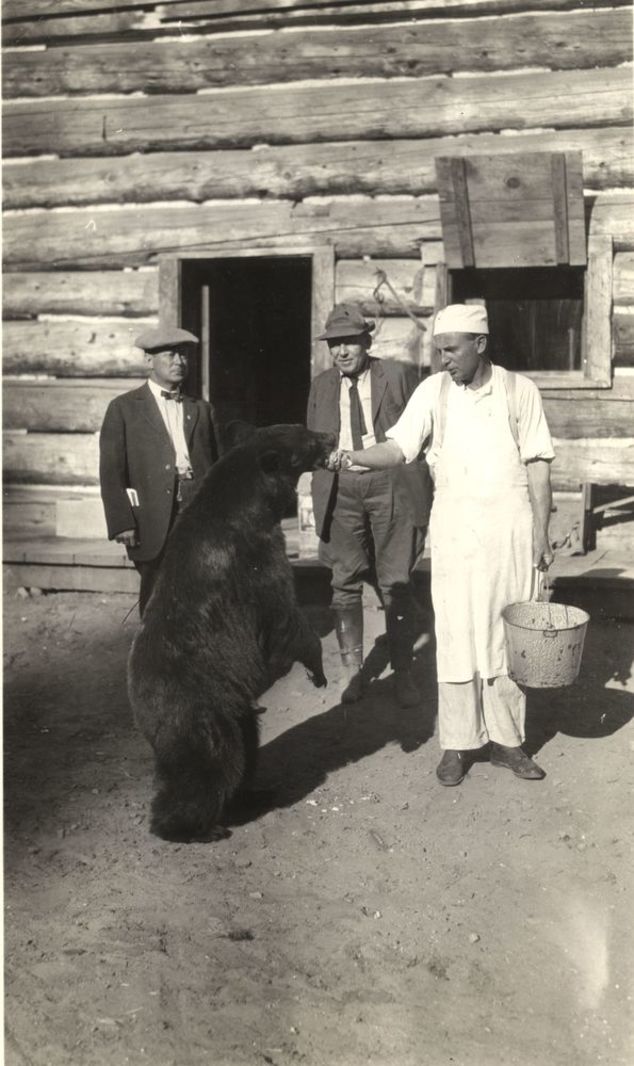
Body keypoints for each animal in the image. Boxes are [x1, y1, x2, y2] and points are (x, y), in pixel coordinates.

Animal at [127, 423, 336, 843]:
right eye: (307, 438)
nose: (332, 436)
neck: (254, 503)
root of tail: (138, 709)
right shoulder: (255, 557)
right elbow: (285, 615)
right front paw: (317, 670)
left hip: (235, 708)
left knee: (247, 748)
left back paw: (253, 793)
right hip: (198, 711)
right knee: (215, 762)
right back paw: (196, 828)